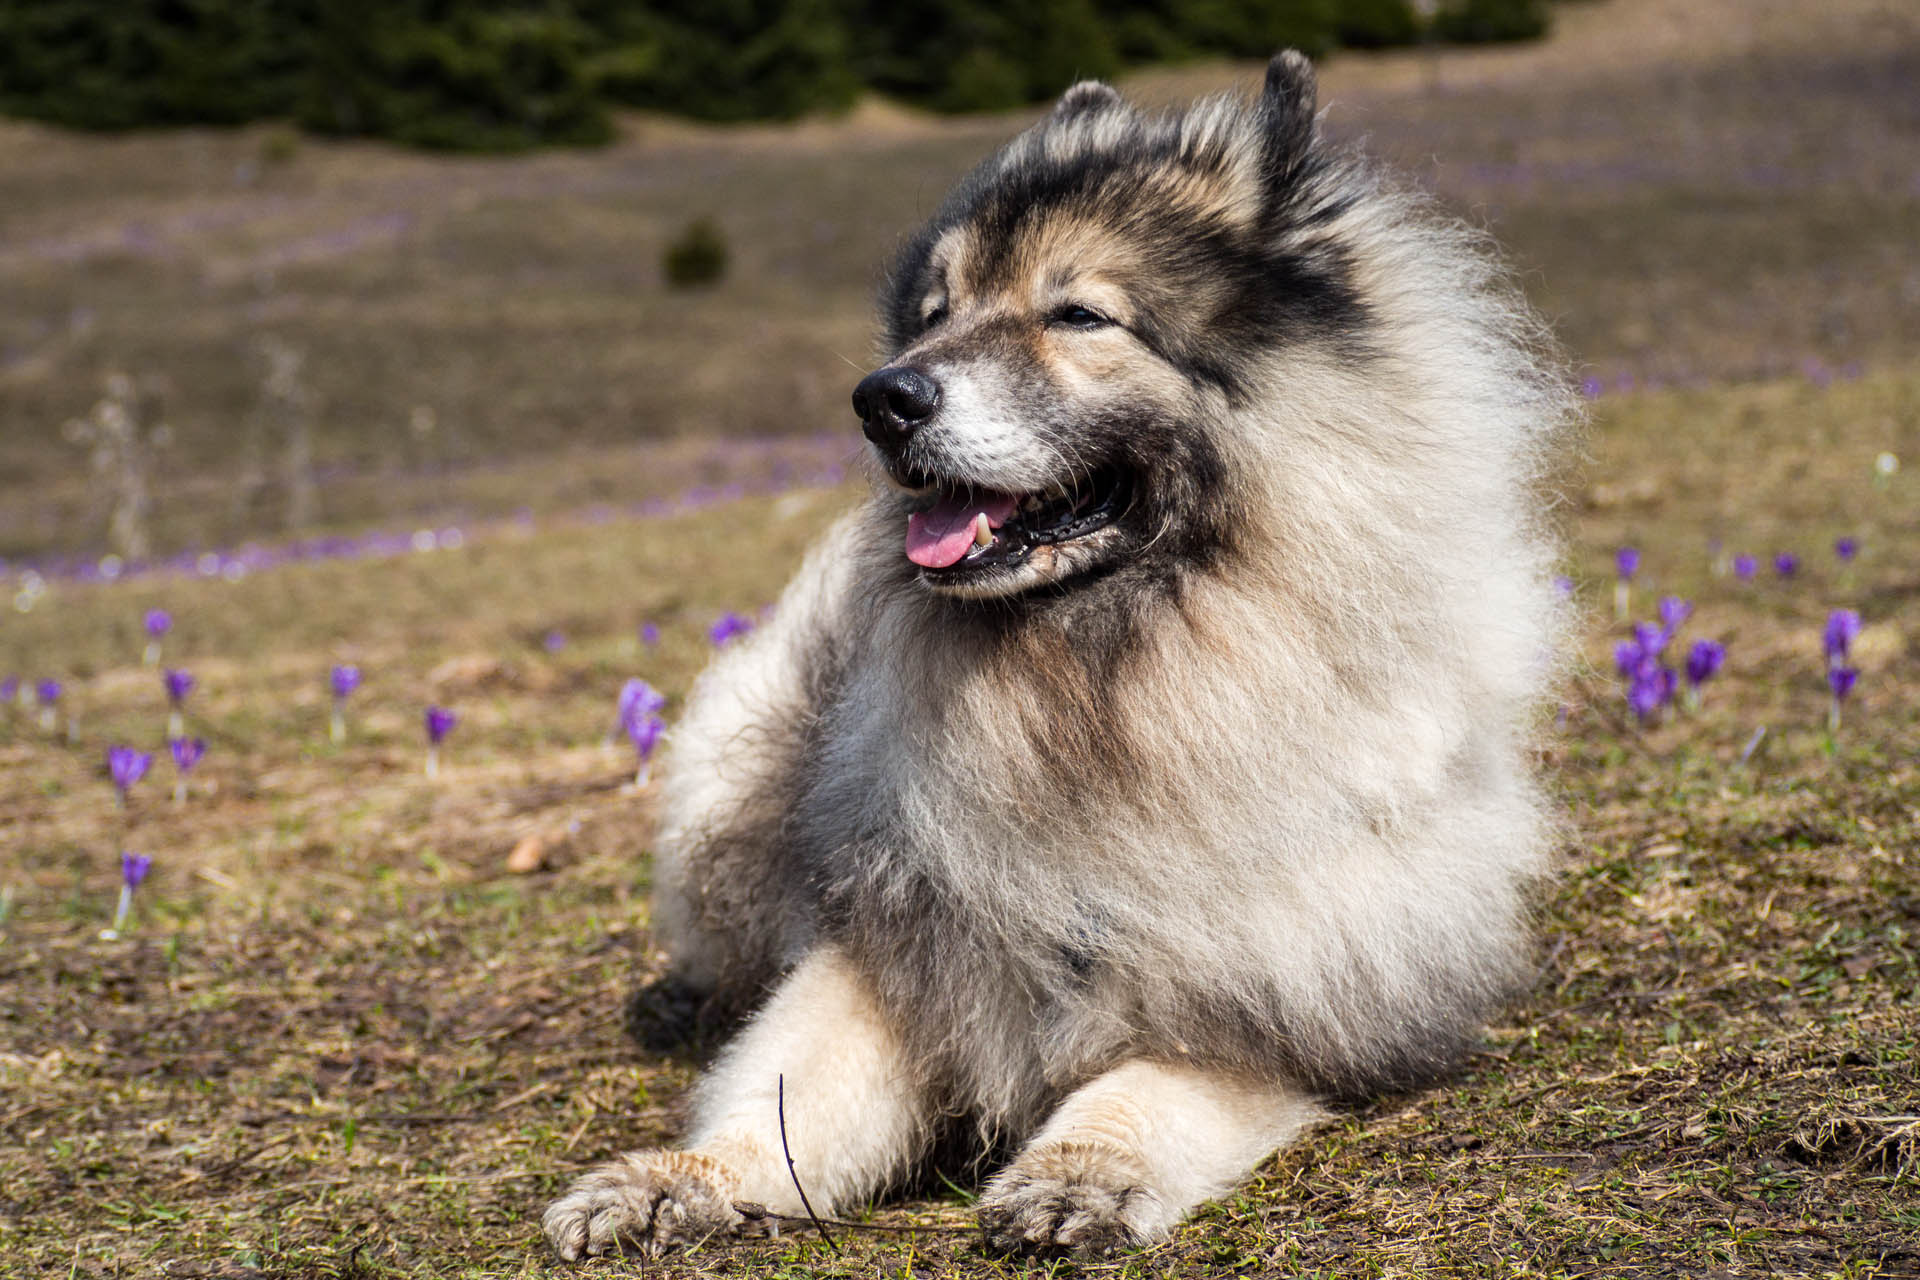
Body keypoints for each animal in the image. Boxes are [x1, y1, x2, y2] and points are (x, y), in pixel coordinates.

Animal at [545, 47, 1574, 1258]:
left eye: (1080, 314)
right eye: (934, 315)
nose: (882, 398)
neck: (1097, 683)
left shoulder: (1282, 985)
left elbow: (1146, 1085)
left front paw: (1078, 1176)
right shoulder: (901, 936)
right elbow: (789, 1089)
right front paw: (676, 1180)